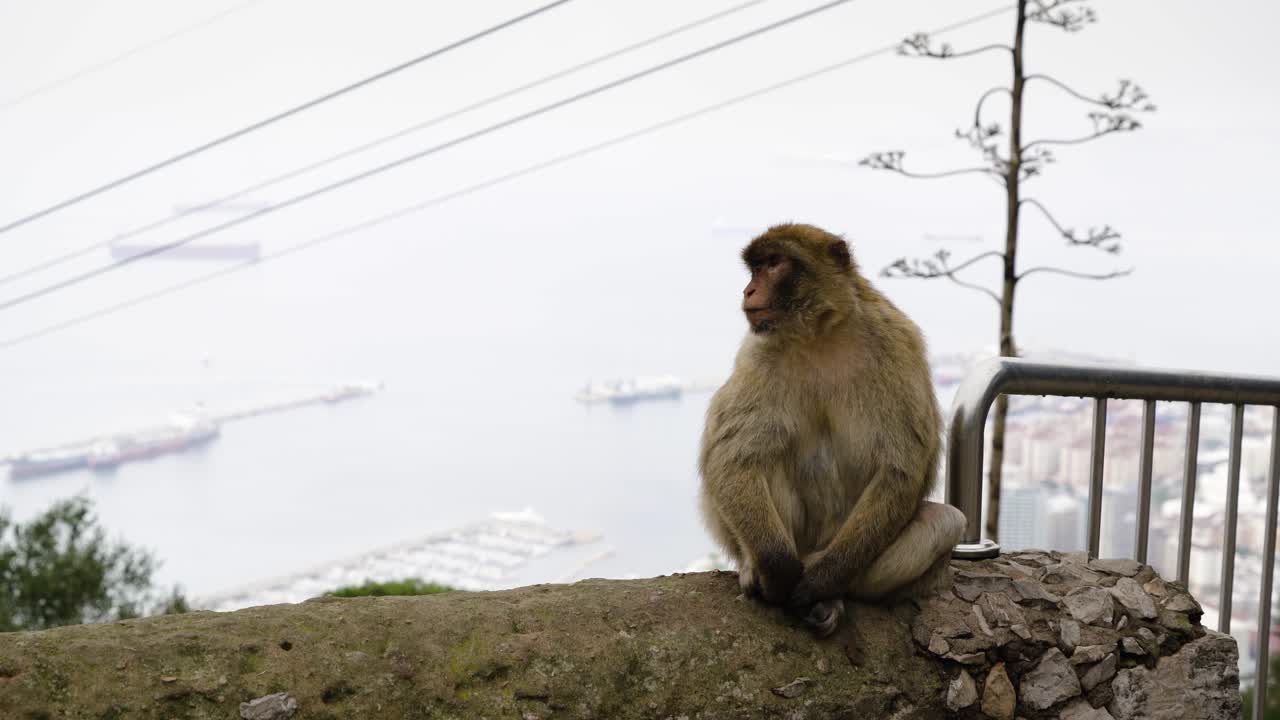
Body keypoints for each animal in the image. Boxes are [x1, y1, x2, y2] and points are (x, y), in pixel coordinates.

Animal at [698, 223, 966, 637]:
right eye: (755, 268)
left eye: (773, 263)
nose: (748, 291)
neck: (819, 333)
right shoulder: (758, 352)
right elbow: (733, 457)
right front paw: (777, 571)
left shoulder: (895, 343)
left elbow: (899, 470)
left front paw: (821, 582)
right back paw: (757, 570)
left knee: (946, 522)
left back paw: (829, 591)